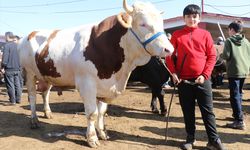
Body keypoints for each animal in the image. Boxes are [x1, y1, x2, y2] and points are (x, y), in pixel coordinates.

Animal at [18, 0, 174, 148]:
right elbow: (92, 113)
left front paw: (102, 133)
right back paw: (34, 120)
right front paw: (92, 139)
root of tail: (29, 34)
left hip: (48, 75)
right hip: (29, 73)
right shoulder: (87, 85)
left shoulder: (104, 85)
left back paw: (48, 113)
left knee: (45, 94)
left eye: (161, 23)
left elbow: (101, 112)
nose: (169, 49)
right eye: (143, 24)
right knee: (32, 96)